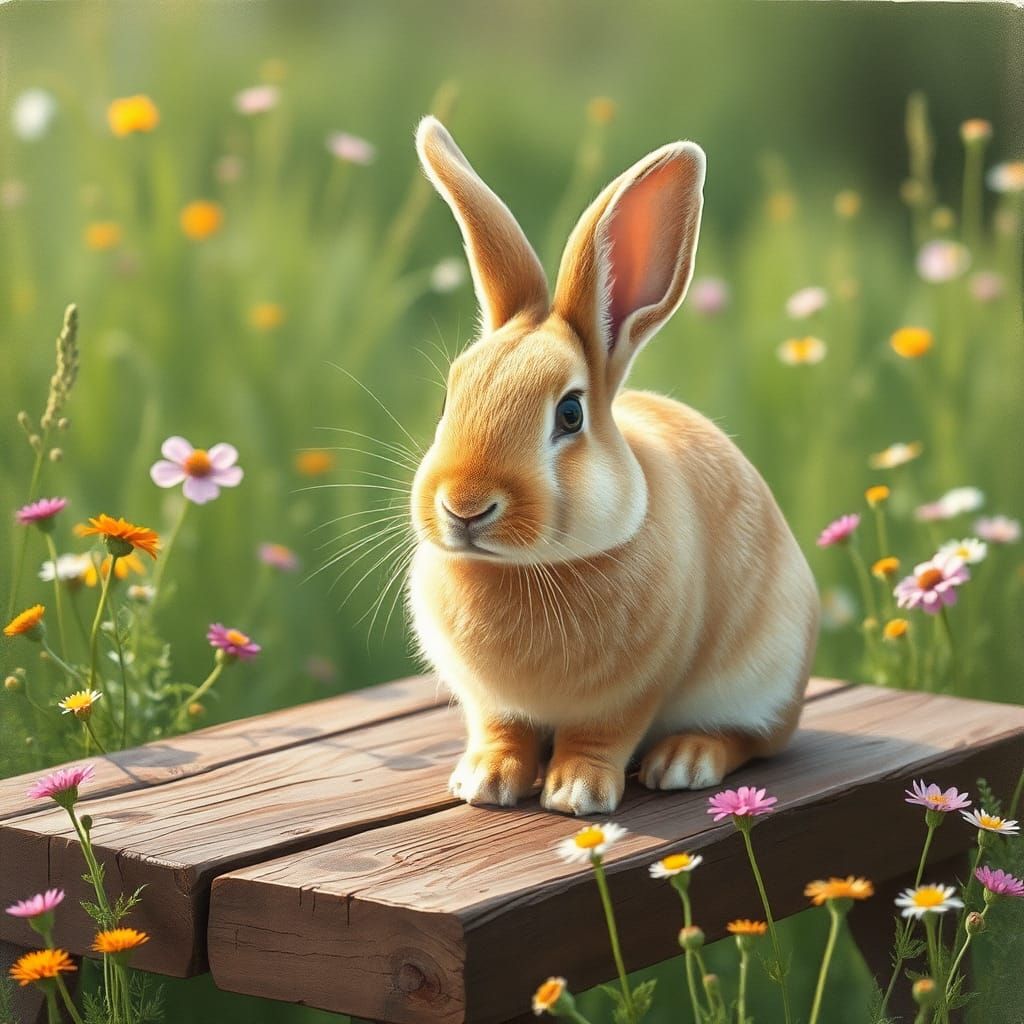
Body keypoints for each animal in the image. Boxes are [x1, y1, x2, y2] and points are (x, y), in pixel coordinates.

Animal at [407, 116, 820, 816]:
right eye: (446, 399)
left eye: (570, 414)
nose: (464, 507)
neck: (525, 569)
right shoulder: (492, 704)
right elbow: (501, 729)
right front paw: (484, 782)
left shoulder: (630, 696)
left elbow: (599, 738)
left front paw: (576, 795)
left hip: (765, 676)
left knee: (753, 739)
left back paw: (684, 761)